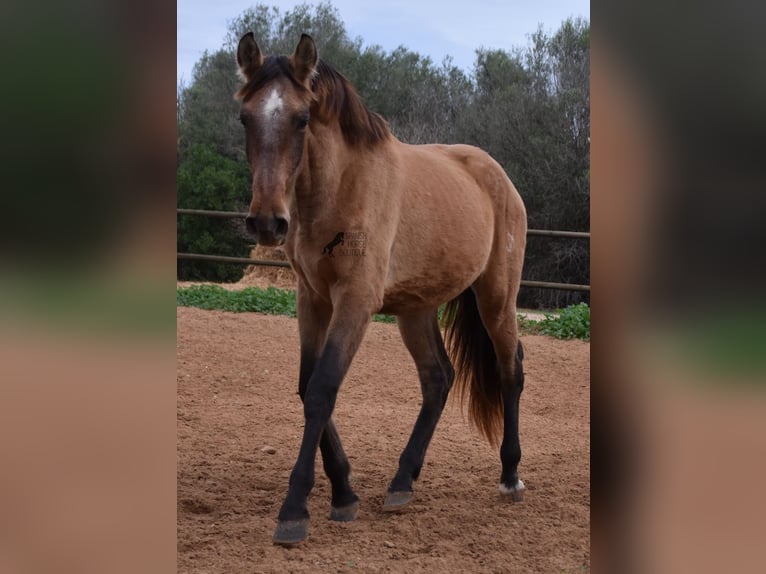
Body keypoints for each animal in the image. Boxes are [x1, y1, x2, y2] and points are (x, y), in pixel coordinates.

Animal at [236, 32, 528, 548]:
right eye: (245, 117)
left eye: (302, 118)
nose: (268, 222)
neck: (339, 189)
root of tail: (497, 176)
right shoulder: (312, 300)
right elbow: (307, 385)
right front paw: (343, 492)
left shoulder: (356, 301)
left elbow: (323, 388)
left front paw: (295, 509)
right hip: (416, 310)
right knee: (438, 379)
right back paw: (402, 482)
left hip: (497, 298)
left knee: (511, 370)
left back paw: (510, 476)